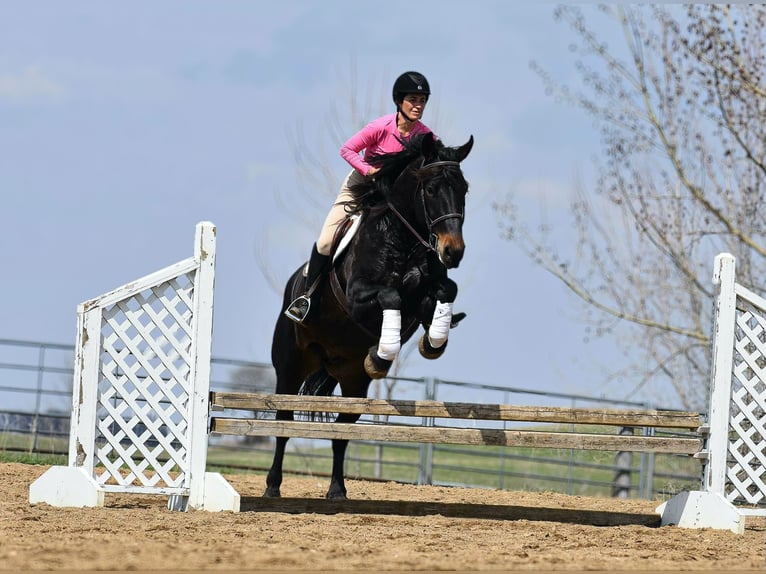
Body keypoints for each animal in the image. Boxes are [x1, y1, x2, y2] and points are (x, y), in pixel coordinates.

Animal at [266, 132, 474, 499]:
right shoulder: (358, 297)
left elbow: (444, 292)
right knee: (283, 422)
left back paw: (337, 490)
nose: (453, 252)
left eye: (464, 188)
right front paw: (382, 353)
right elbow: (391, 295)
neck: (402, 238)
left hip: (352, 381)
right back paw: (273, 487)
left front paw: (432, 341)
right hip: (290, 366)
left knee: (342, 433)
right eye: (431, 189)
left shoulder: (428, 289)